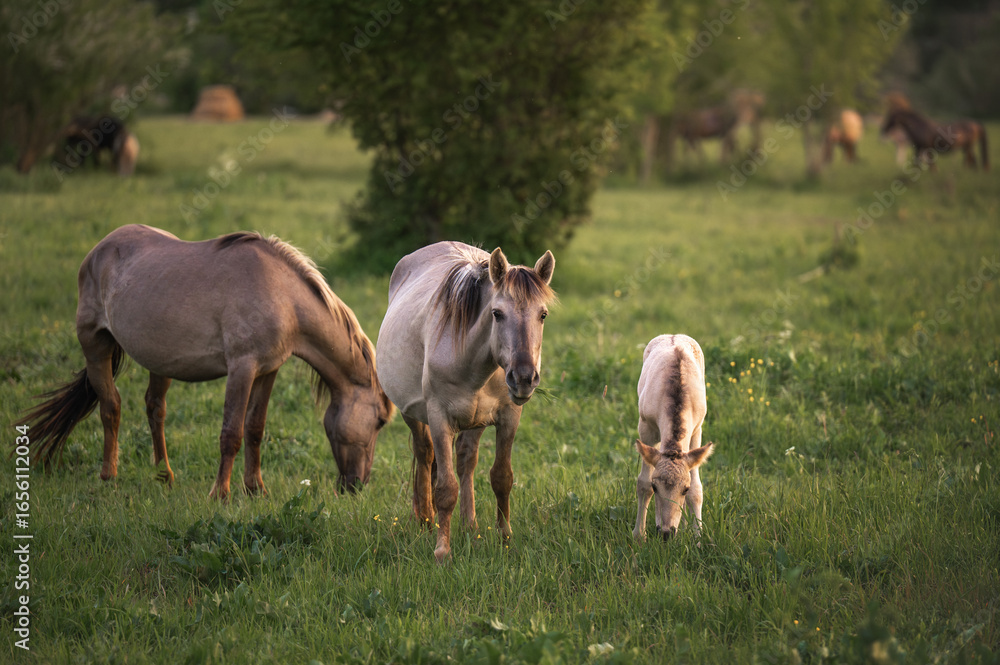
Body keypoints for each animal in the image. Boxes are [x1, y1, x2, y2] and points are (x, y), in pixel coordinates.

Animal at [17, 224, 393, 498]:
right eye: (379, 422)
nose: (356, 485)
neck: (283, 297)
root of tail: (100, 248)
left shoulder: (268, 370)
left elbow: (255, 429)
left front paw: (256, 489)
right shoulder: (242, 368)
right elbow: (231, 433)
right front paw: (220, 493)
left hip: (160, 361)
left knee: (155, 409)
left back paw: (164, 476)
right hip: (95, 345)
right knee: (111, 407)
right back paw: (109, 475)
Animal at [376, 242, 555, 563]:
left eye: (543, 315)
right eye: (497, 313)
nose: (524, 378)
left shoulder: (509, 417)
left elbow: (501, 477)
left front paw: (505, 538)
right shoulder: (439, 419)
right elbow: (446, 488)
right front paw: (442, 551)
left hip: (475, 422)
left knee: (466, 461)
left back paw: (470, 526)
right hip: (413, 415)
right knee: (425, 456)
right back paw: (426, 520)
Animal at [633, 335, 715, 542]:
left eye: (684, 489)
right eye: (656, 487)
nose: (667, 533)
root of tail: (673, 335)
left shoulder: (697, 430)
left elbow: (697, 488)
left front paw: (697, 538)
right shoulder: (646, 426)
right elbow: (643, 483)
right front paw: (639, 536)